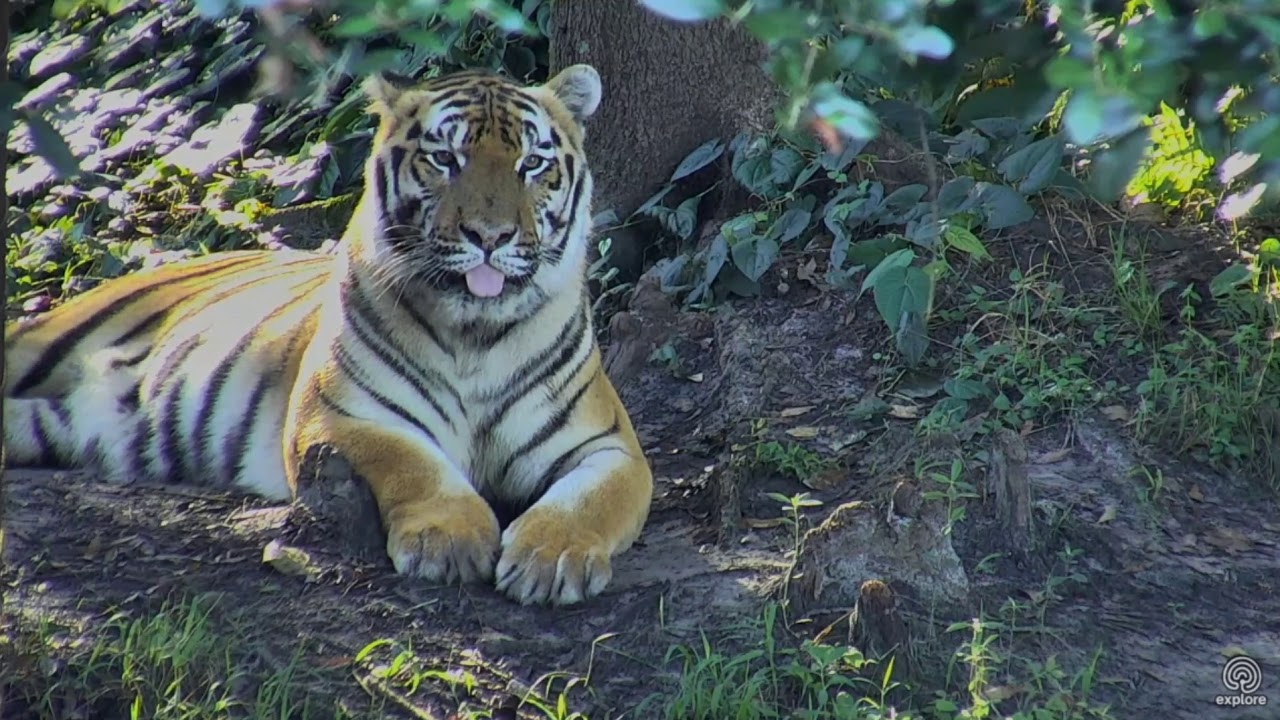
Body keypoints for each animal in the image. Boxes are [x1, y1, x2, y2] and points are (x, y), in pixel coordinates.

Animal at [3, 64, 654, 607]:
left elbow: (590, 499)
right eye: (445, 159)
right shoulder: (340, 415)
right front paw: (449, 537)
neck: (476, 333)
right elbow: (414, 464)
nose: (490, 236)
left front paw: (553, 557)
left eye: (532, 164)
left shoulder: (607, 444)